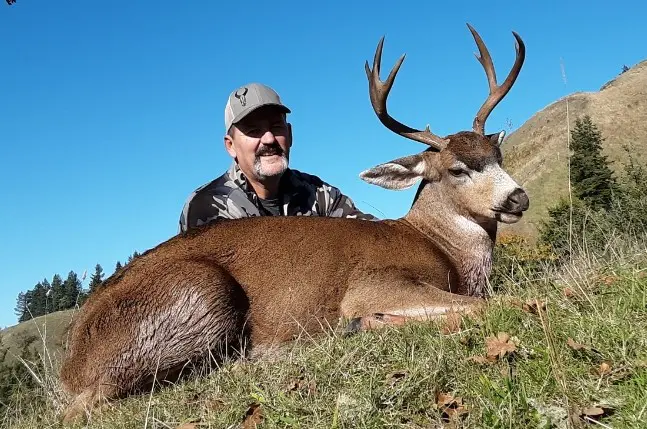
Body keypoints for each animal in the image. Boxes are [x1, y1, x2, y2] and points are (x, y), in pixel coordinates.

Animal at [58, 23, 528, 424]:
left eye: (496, 155)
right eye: (456, 169)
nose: (518, 197)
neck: (438, 245)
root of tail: (71, 365)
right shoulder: (371, 283)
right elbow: (488, 305)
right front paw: (369, 324)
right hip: (202, 291)